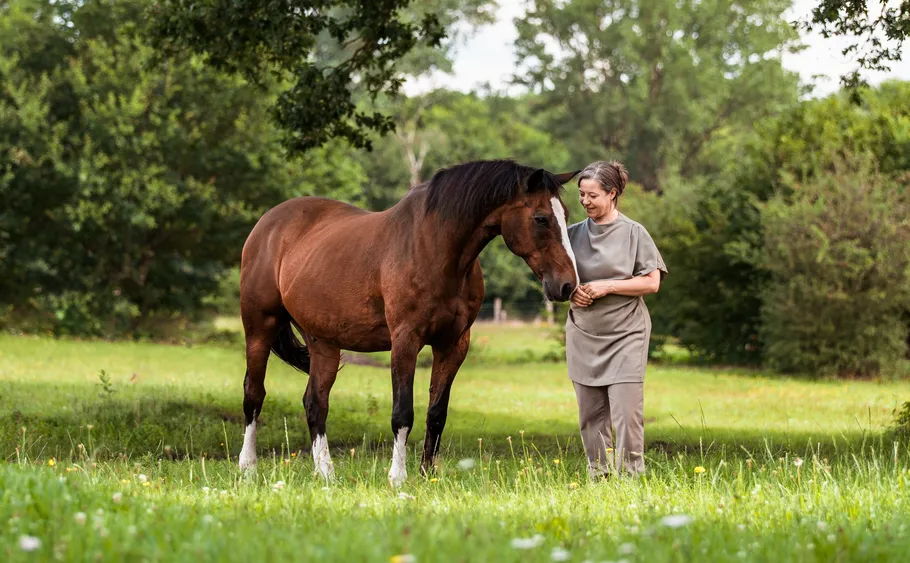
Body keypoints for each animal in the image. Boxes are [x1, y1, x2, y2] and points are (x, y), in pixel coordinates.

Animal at [237, 159, 580, 486]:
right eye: (541, 218)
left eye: (565, 215)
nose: (567, 285)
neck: (435, 249)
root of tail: (268, 224)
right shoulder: (405, 340)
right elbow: (402, 413)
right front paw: (398, 477)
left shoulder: (453, 345)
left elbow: (436, 413)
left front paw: (428, 475)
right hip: (259, 328)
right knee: (254, 395)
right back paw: (248, 468)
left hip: (323, 342)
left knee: (315, 403)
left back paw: (326, 474)